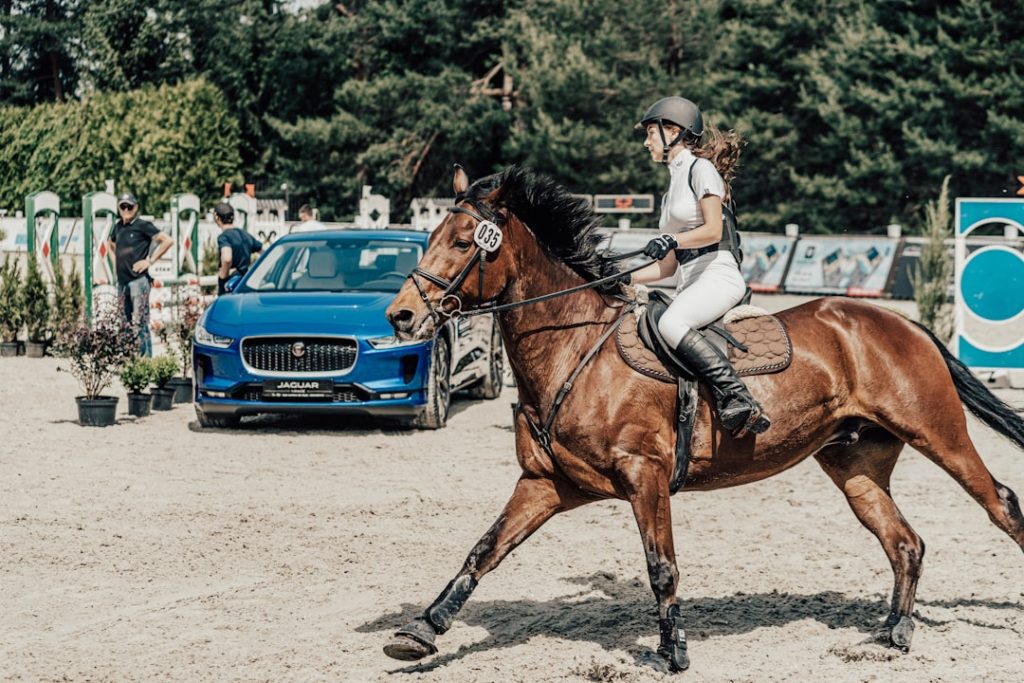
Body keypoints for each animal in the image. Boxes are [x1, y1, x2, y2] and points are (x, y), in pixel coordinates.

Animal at [381, 165, 1024, 672]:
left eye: (463, 242)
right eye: (432, 235)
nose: (401, 316)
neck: (574, 348)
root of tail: (907, 324)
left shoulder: (645, 476)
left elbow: (661, 566)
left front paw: (675, 650)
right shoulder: (545, 483)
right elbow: (484, 550)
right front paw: (421, 631)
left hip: (938, 433)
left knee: (1000, 504)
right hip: (855, 464)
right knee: (904, 542)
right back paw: (896, 631)